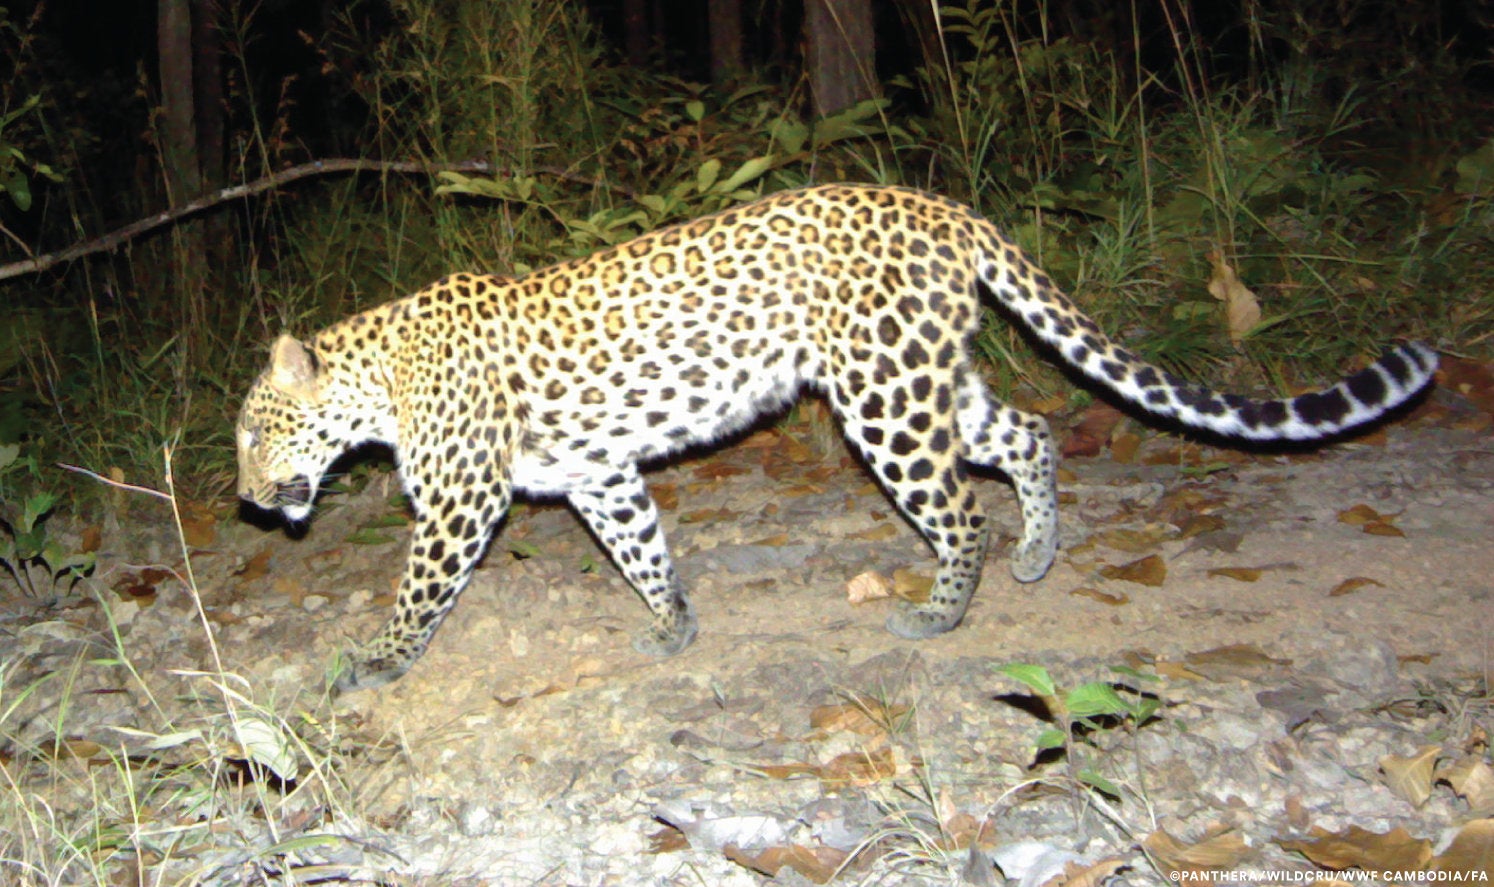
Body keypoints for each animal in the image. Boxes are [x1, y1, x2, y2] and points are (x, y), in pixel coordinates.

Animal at [239, 181, 1440, 689]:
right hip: (924, 374)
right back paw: (1040, 552)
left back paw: (943, 612)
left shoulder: (461, 500)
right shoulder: (597, 472)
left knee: (957, 507)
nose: (248, 499)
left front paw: (372, 661)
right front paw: (674, 625)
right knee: (1030, 432)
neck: (376, 377)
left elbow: (418, 589)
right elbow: (640, 546)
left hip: (882, 396)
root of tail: (943, 207)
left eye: (254, 433)